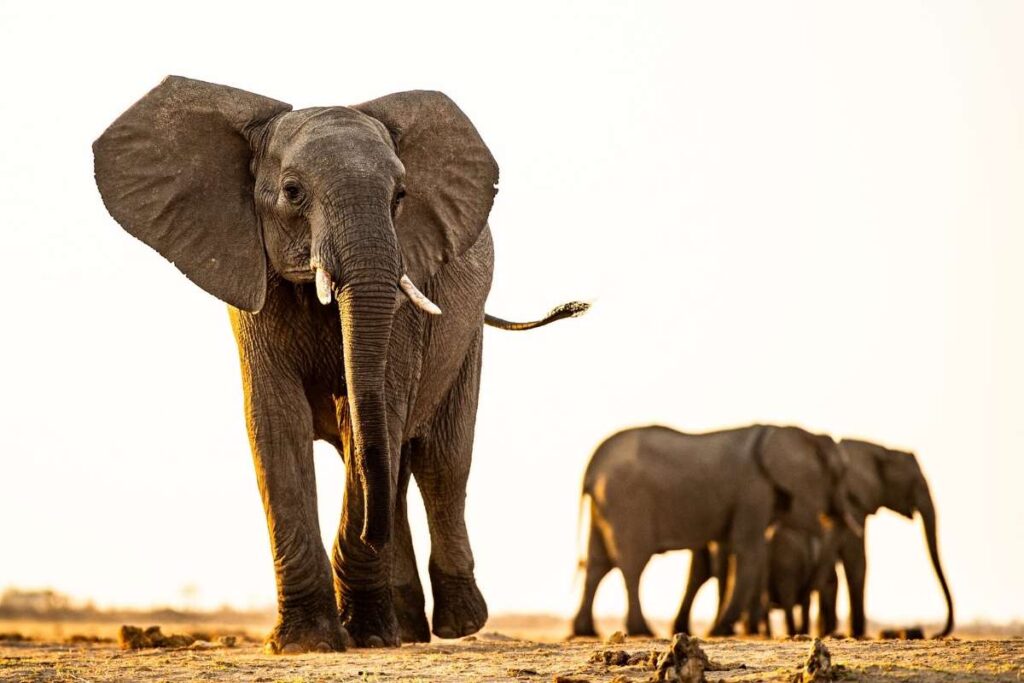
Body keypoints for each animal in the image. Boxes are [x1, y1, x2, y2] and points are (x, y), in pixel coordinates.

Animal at [93, 76, 587, 653]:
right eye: (292, 192)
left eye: (401, 196)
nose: (371, 533)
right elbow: (275, 423)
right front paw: (306, 643)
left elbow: (370, 416)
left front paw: (362, 634)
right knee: (397, 469)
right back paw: (407, 628)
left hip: (464, 339)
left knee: (437, 461)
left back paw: (453, 625)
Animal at [571, 424, 856, 638]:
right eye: (839, 473)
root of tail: (593, 466)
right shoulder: (754, 490)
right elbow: (748, 550)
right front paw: (719, 629)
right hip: (627, 500)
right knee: (632, 563)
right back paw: (643, 630)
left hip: (606, 505)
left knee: (597, 563)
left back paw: (586, 631)